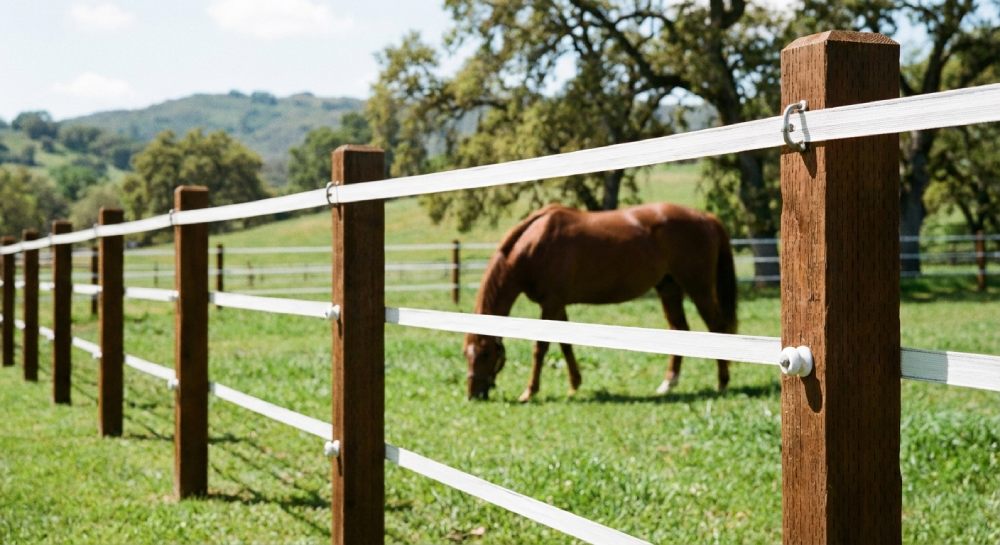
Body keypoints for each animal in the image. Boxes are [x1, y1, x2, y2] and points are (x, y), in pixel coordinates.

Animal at [463, 202, 738, 401]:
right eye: (466, 354)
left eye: (486, 354)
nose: (473, 394)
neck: (533, 245)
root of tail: (705, 217)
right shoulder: (558, 305)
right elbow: (565, 344)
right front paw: (574, 384)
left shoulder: (551, 303)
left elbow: (541, 347)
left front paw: (529, 392)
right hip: (669, 288)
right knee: (679, 329)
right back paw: (668, 384)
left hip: (698, 288)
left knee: (717, 327)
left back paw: (722, 383)